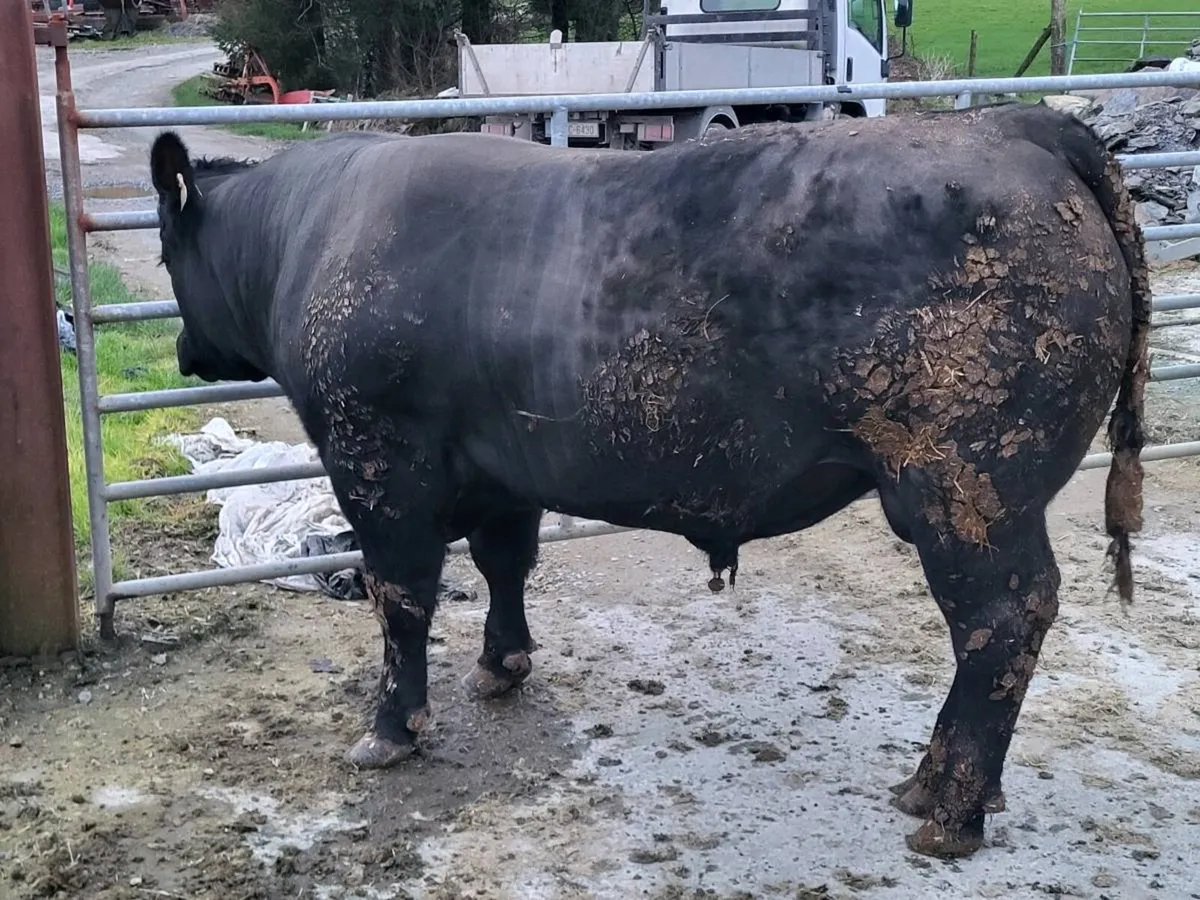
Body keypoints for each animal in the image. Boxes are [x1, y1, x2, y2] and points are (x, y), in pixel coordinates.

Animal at [148, 101, 1148, 859]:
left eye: (165, 252)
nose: (186, 349)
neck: (311, 233)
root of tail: (1013, 125)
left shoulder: (375, 460)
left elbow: (400, 597)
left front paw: (391, 728)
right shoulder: (504, 466)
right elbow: (506, 563)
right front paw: (502, 666)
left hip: (965, 486)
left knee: (1002, 619)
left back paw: (945, 806)